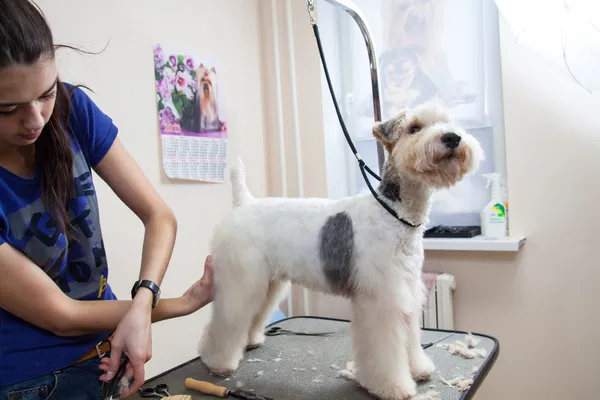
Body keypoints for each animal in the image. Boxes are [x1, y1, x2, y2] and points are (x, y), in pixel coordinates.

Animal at [199, 101, 486, 398]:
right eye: (414, 128)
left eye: (449, 122)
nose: (452, 138)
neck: (394, 211)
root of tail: (244, 203)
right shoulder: (382, 298)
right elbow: (385, 351)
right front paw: (392, 386)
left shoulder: (406, 290)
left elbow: (410, 336)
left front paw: (418, 369)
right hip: (240, 280)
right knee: (225, 322)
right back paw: (218, 362)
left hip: (268, 282)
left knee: (254, 314)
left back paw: (251, 340)